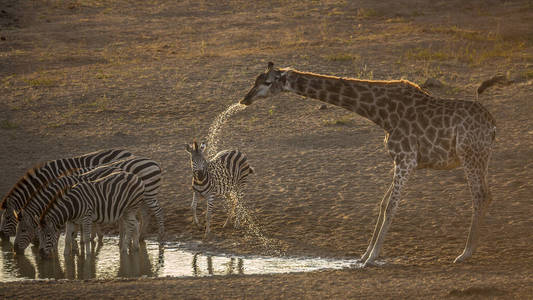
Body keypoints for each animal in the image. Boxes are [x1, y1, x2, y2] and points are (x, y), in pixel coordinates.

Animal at [14, 157, 164, 253]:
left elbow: (71, 231)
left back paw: (158, 237)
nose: (15, 250)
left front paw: (76, 245)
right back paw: (136, 239)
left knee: (157, 212)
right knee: (141, 216)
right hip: (137, 200)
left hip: (149, 194)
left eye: (23, 230)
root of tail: (154, 163)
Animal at [239, 62, 496, 266]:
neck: (381, 113)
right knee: (487, 195)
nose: (244, 99)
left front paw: (371, 258)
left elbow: (391, 206)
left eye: (268, 82)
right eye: (255, 80)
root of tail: (493, 126)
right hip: (480, 157)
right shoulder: (401, 161)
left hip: (470, 155)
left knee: (480, 195)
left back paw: (465, 253)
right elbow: (382, 205)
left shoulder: (406, 159)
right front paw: (364, 254)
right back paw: (470, 249)